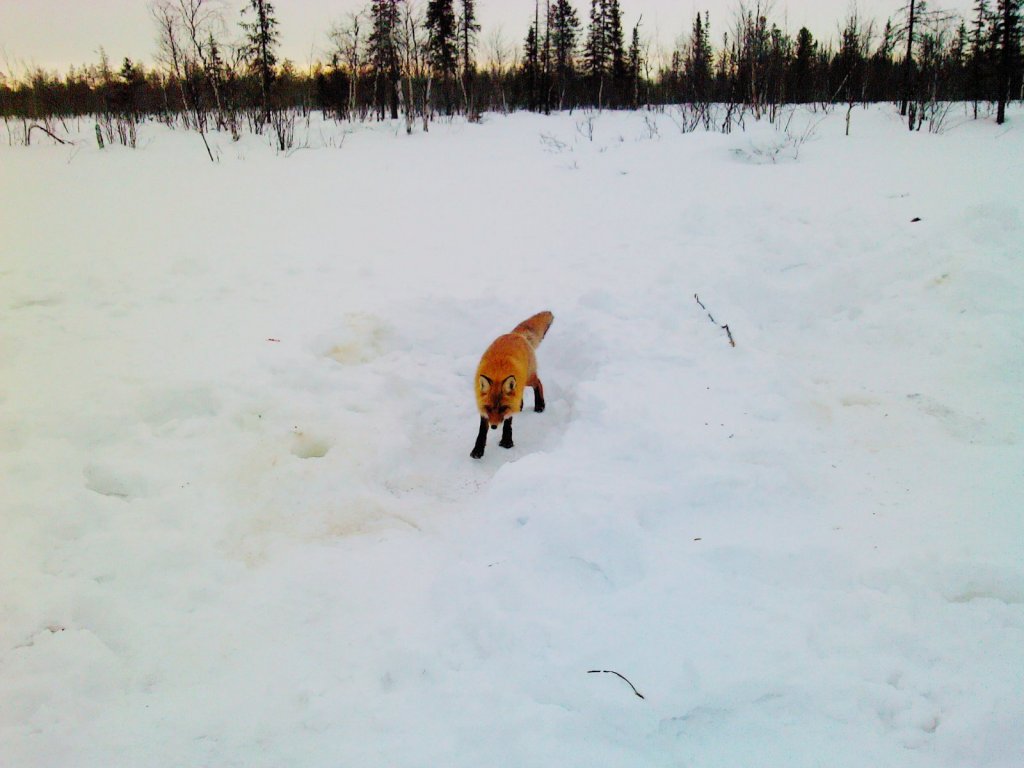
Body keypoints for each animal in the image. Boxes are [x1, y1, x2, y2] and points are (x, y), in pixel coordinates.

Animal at [470, 310, 554, 459]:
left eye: (502, 408)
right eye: (489, 408)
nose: (494, 426)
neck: (498, 374)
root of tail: (515, 334)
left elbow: (507, 422)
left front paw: (506, 441)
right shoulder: (482, 404)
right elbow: (482, 430)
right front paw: (478, 450)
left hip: (528, 379)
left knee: (538, 383)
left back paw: (540, 405)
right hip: (520, 383)